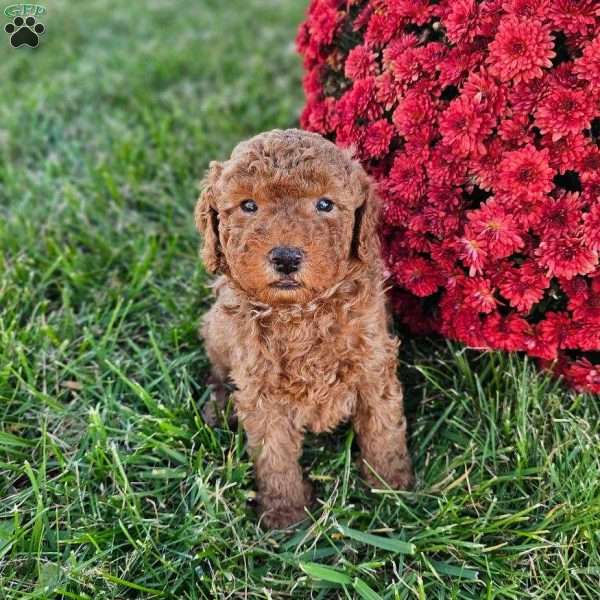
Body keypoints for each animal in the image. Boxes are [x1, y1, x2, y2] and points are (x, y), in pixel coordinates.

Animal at [196, 129, 412, 528]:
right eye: (248, 206)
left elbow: (383, 428)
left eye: (325, 204)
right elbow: (274, 454)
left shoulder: (373, 363)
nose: (285, 258)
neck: (300, 313)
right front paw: (286, 514)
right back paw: (218, 407)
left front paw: (392, 488)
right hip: (216, 327)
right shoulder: (261, 388)